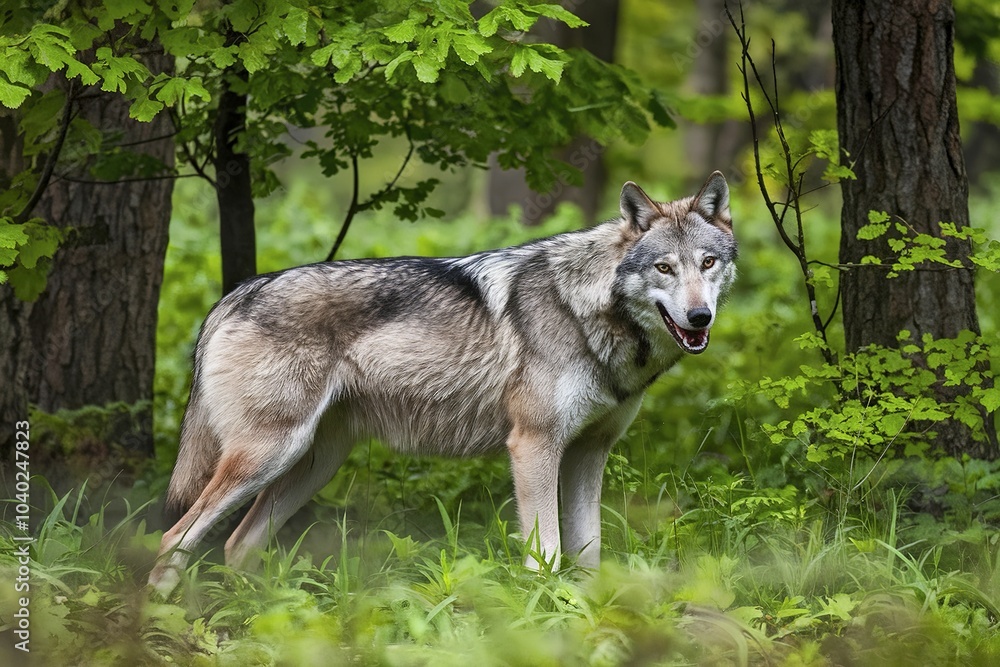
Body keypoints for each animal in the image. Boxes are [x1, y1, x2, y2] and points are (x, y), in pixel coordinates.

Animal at [148, 172, 736, 594]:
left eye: (708, 263)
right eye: (664, 268)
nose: (700, 317)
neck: (589, 312)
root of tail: (237, 292)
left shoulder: (590, 452)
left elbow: (588, 553)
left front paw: (592, 616)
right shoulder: (533, 446)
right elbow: (545, 555)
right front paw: (546, 616)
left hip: (312, 464)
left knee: (237, 546)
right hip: (268, 455)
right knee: (174, 537)